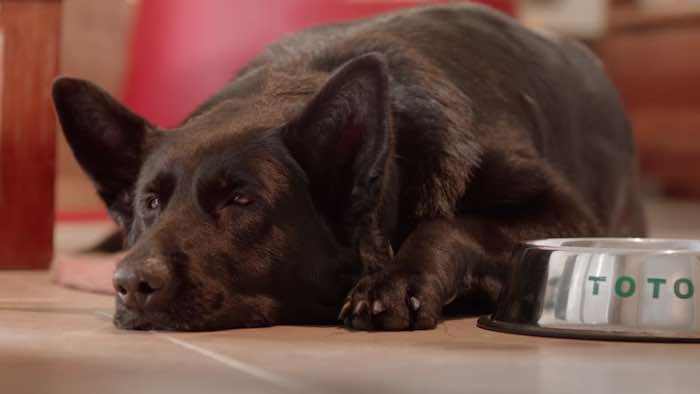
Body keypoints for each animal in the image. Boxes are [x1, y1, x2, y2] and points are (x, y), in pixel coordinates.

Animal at [52, 4, 648, 330]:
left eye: (241, 200)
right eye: (151, 203)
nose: (130, 285)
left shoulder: (567, 217)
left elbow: (448, 224)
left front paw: (398, 280)